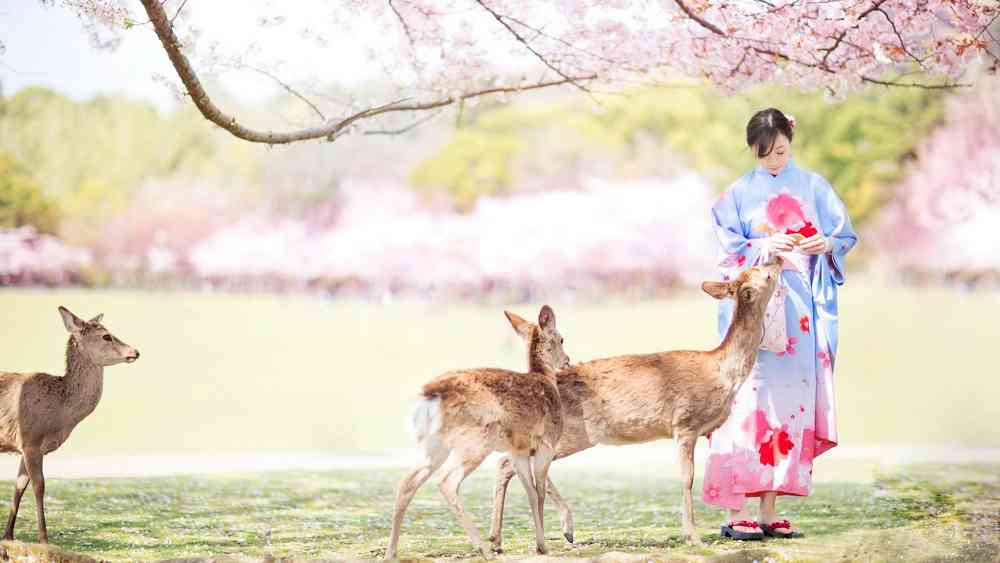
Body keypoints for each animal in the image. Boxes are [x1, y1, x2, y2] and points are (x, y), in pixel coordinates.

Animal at [0, 306, 141, 544]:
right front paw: (44, 539)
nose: (136, 351)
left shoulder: (26, 446)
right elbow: (39, 486)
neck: (60, 415)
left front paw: (7, 537)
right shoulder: (30, 440)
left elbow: (19, 486)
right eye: (106, 336)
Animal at [384, 306, 572, 560]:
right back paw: (484, 549)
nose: (567, 361)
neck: (546, 380)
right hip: (476, 441)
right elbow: (540, 491)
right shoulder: (546, 444)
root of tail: (429, 397)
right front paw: (543, 546)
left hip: (434, 445)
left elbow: (530, 492)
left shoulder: (518, 450)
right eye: (561, 339)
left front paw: (540, 544)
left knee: (406, 482)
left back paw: (391, 552)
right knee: (446, 481)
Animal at [488, 258, 784, 548]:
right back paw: (533, 533)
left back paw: (508, 537)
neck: (722, 373)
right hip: (569, 432)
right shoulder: (685, 423)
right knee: (507, 463)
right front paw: (693, 536)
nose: (779, 258)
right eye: (763, 271)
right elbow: (687, 478)